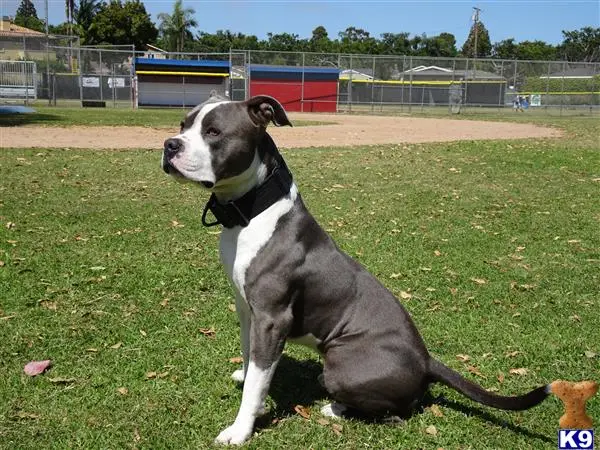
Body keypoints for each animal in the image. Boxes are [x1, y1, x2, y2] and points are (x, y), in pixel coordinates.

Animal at [161, 93, 552, 444]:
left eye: (213, 132)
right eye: (183, 125)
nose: (169, 144)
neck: (253, 212)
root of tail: (427, 360)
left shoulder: (272, 319)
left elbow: (259, 383)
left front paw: (241, 428)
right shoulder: (247, 309)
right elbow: (251, 359)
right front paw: (245, 376)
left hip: (341, 363)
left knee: (396, 412)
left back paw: (334, 408)